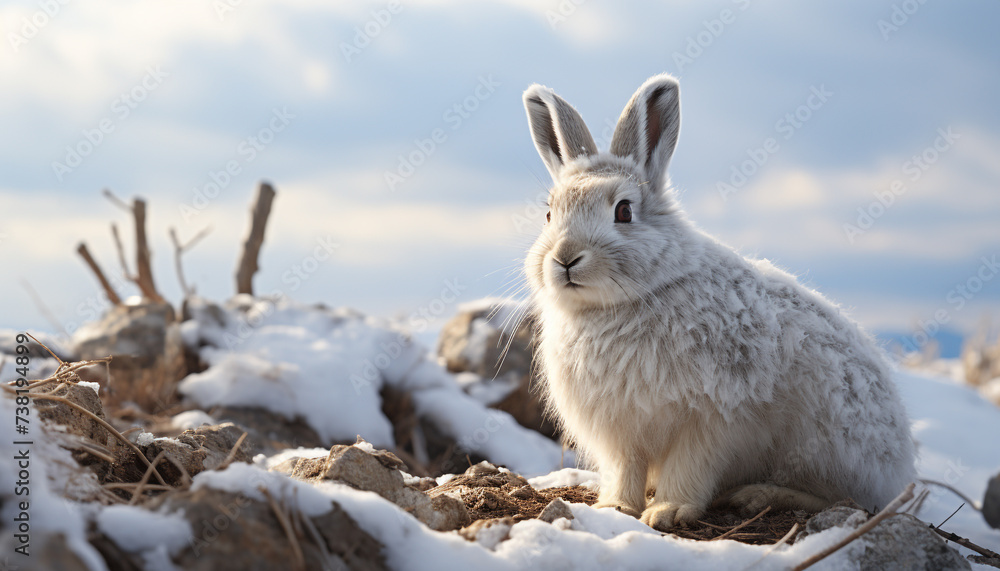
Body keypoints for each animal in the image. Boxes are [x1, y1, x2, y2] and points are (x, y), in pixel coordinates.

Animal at [520, 73, 916, 531]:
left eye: (623, 212)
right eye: (549, 214)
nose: (565, 259)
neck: (620, 305)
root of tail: (900, 467)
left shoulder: (712, 418)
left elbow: (690, 466)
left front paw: (669, 511)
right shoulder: (620, 432)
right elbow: (624, 470)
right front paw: (614, 508)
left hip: (826, 450)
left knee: (842, 499)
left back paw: (757, 495)